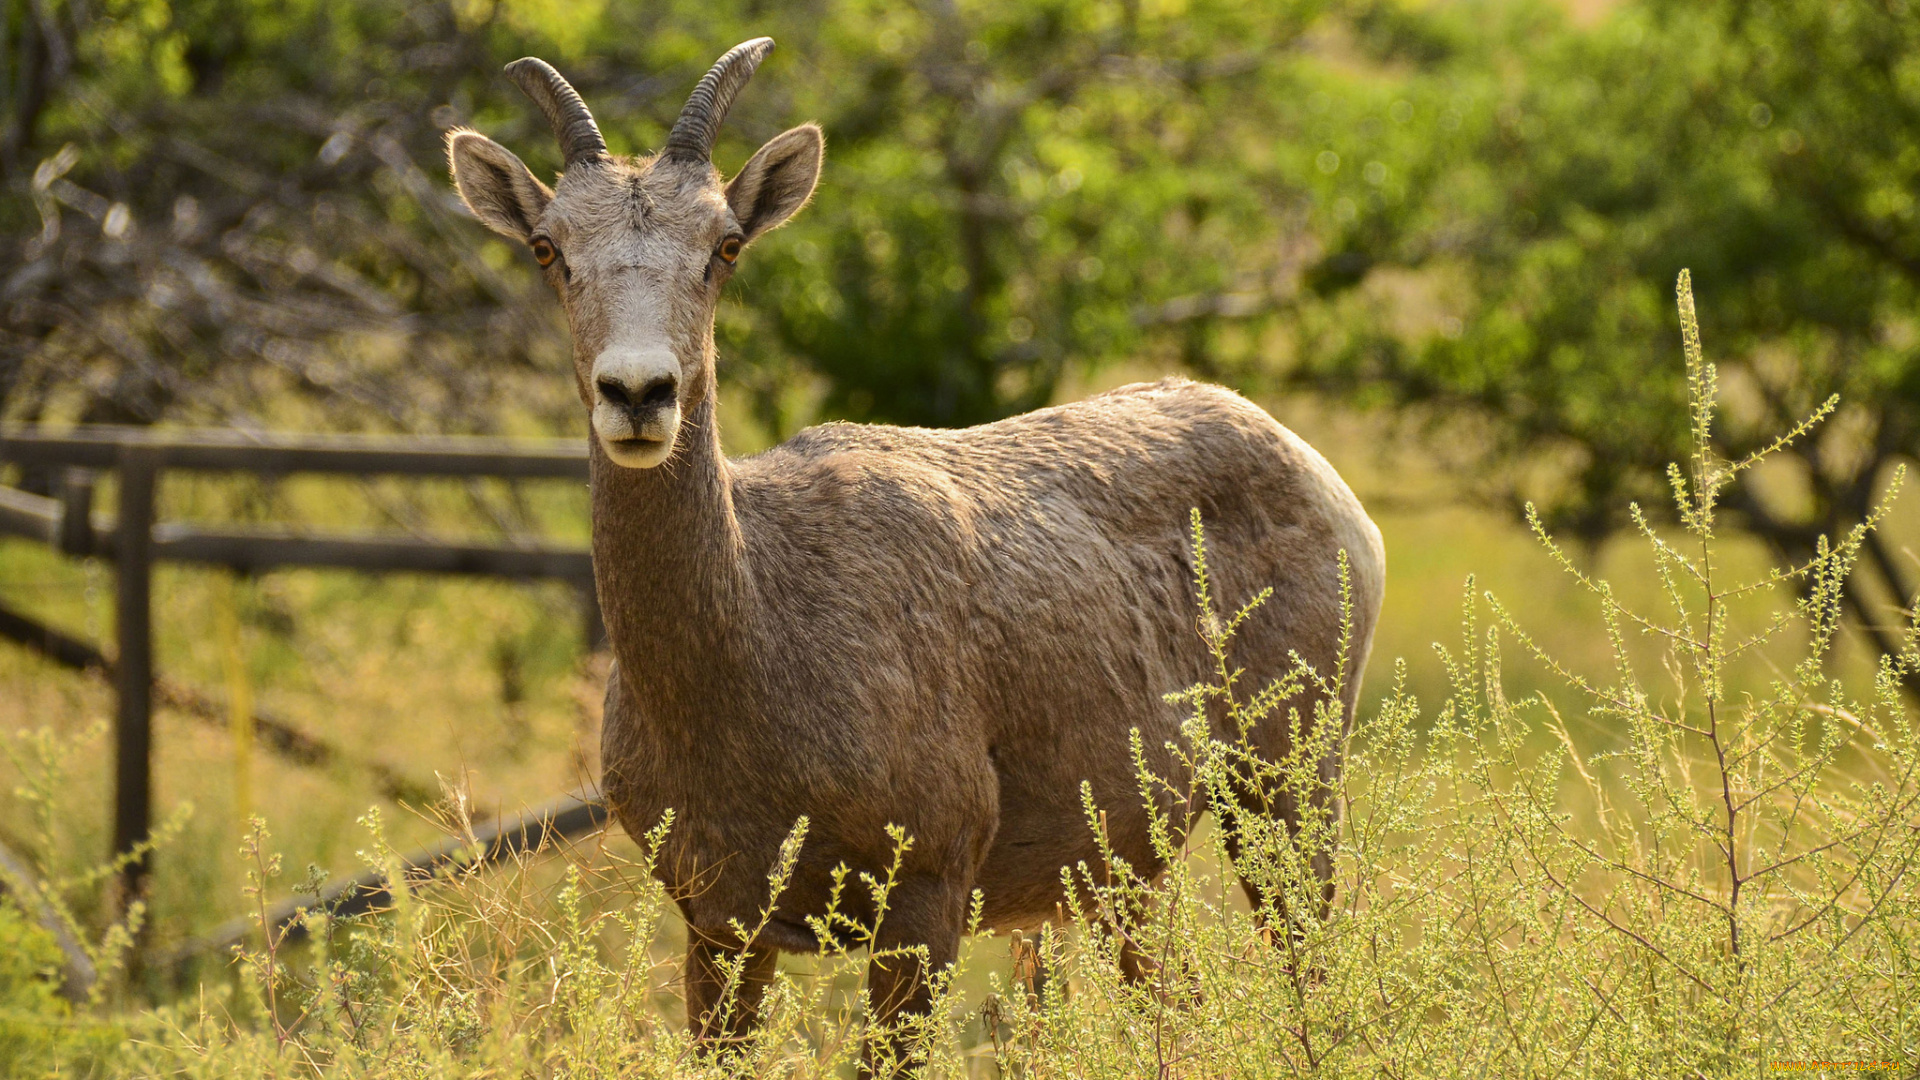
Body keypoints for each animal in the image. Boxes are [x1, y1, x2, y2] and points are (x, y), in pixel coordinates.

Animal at [445, 39, 1382, 1045]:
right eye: (548, 248)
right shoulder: (720, 926)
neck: (757, 652)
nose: (638, 393)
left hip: (1288, 787)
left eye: (724, 246)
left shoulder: (925, 899)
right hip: (1129, 871)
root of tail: (1328, 488)